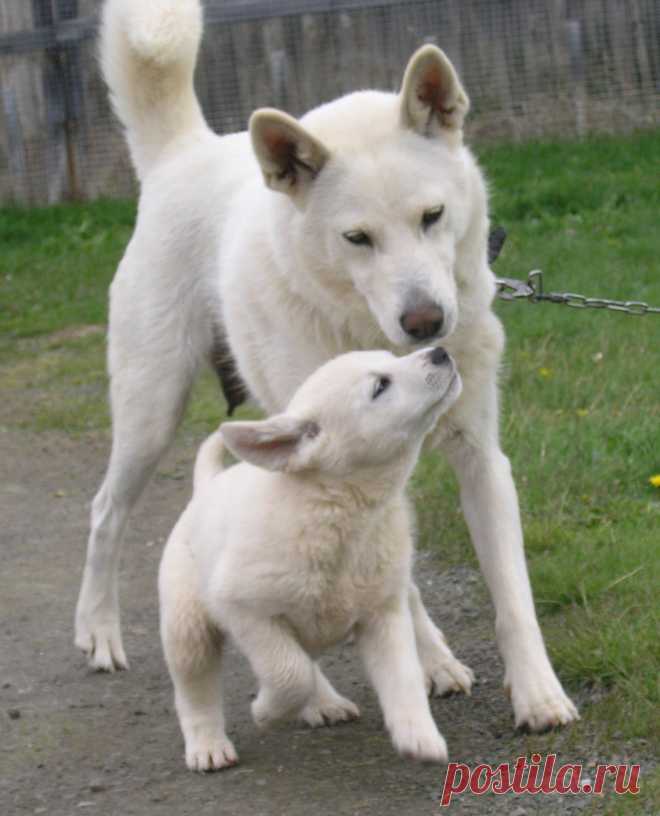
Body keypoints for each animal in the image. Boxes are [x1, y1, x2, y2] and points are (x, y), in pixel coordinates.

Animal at [159, 346, 470, 772]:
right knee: (195, 687)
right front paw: (266, 711)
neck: (340, 513)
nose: (439, 352)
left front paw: (418, 737)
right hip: (186, 624)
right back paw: (208, 745)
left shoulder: (383, 613)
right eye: (380, 386)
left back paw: (324, 703)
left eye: (390, 356)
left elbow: (402, 677)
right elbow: (289, 674)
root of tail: (206, 487)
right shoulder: (244, 610)